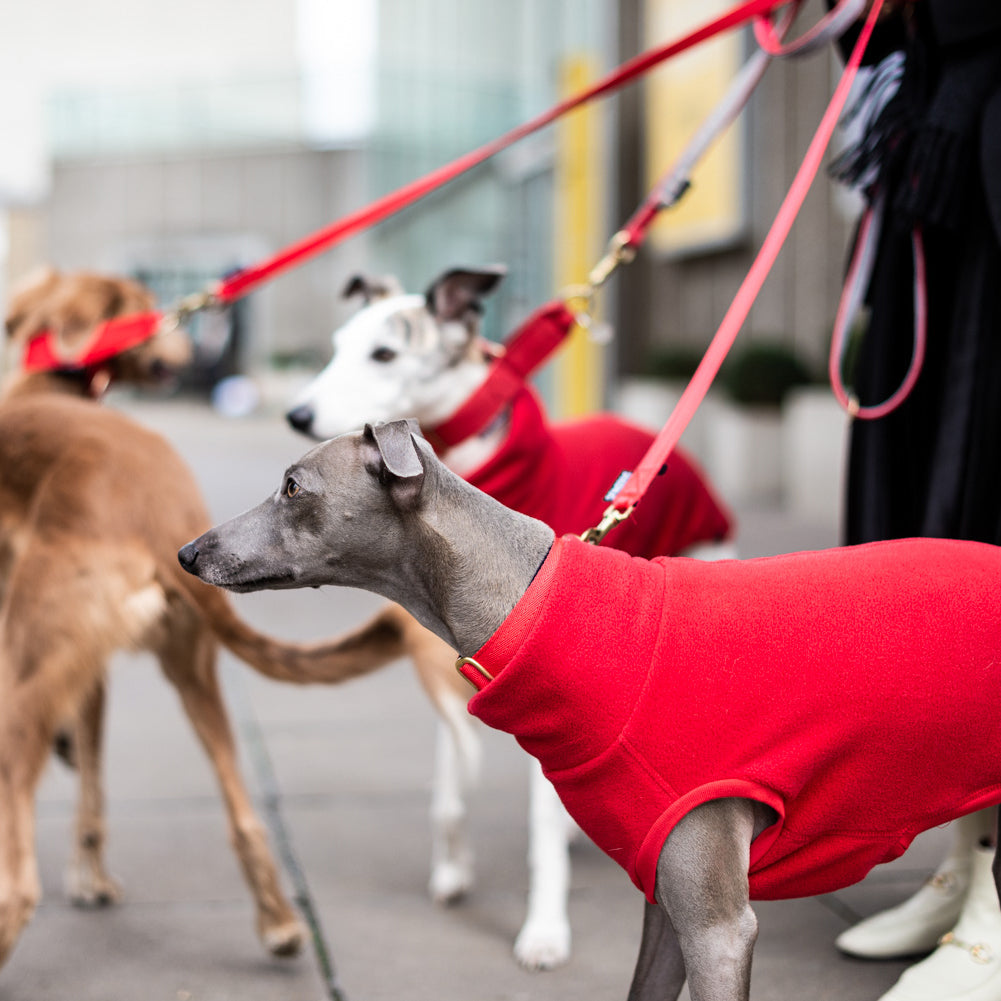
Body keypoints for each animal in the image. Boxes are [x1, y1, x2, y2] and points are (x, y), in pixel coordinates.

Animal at [0, 270, 446, 972]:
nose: (188, 352)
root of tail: (160, 506)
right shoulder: (93, 673)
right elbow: (92, 781)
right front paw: (90, 874)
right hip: (193, 672)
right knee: (246, 818)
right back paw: (280, 923)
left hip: (31, 684)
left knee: (18, 882)